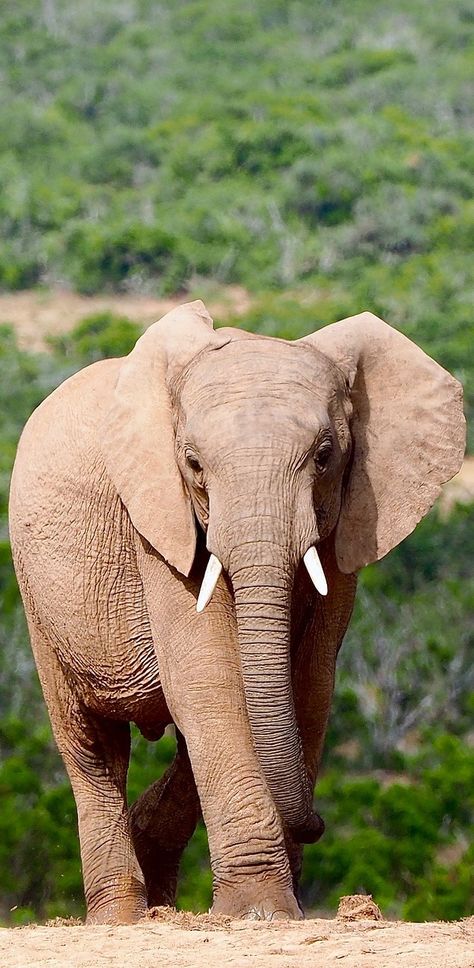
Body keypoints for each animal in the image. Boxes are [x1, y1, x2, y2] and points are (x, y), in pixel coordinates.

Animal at [9, 300, 464, 924]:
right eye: (194, 464)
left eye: (326, 457)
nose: (316, 822)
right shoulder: (157, 524)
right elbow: (209, 676)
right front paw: (259, 911)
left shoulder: (349, 523)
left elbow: (309, 683)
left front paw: (279, 904)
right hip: (37, 596)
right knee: (93, 747)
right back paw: (122, 916)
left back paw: (156, 884)